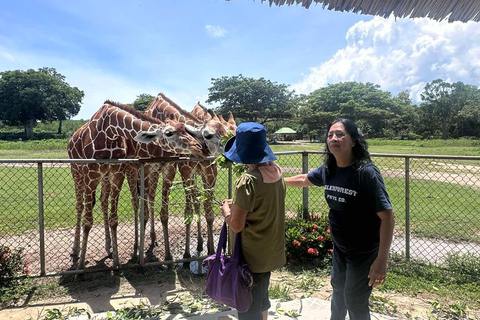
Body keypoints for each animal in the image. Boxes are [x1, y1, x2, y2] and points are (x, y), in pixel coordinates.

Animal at [66, 101, 205, 268]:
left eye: (185, 129)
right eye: (169, 133)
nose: (198, 147)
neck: (109, 131)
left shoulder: (119, 172)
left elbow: (117, 218)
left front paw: (118, 262)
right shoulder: (92, 174)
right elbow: (88, 221)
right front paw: (81, 266)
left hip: (105, 176)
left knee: (103, 200)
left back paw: (109, 247)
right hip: (77, 172)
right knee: (80, 206)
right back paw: (75, 251)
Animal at [142, 93, 232, 262]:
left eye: (226, 131)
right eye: (208, 135)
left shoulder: (210, 171)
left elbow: (208, 212)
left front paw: (211, 250)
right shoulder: (185, 171)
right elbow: (188, 212)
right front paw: (186, 256)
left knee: (196, 201)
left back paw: (201, 244)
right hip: (153, 170)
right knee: (151, 197)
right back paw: (153, 239)